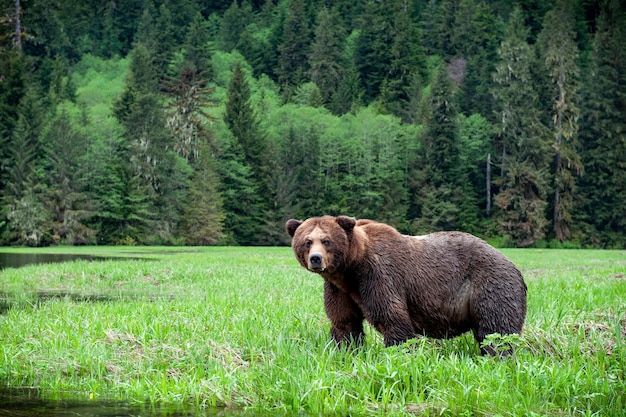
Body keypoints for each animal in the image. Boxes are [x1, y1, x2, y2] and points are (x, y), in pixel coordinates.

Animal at [286, 214, 524, 354]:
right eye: (307, 241)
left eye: (326, 240)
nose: (316, 259)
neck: (351, 270)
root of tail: (512, 264)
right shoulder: (339, 289)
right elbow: (344, 321)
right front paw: (346, 350)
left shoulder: (379, 276)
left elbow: (391, 318)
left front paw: (399, 352)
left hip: (490, 285)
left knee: (497, 330)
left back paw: (497, 355)